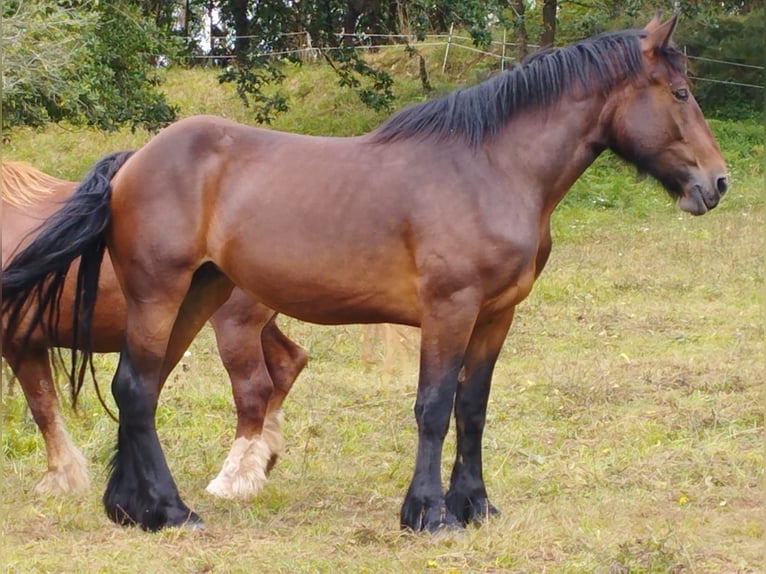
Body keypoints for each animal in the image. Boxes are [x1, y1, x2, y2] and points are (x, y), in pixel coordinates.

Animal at [3, 161, 308, 500]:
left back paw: (235, 478)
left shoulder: (18, 343)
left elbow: (42, 408)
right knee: (287, 363)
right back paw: (261, 460)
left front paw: (60, 477)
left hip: (235, 327)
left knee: (253, 391)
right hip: (256, 327)